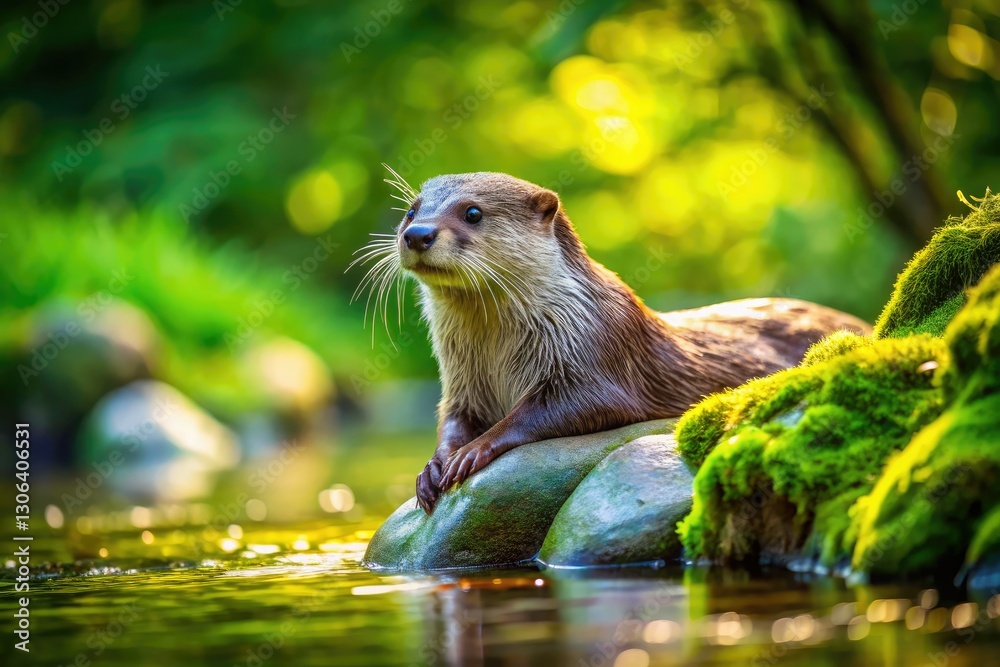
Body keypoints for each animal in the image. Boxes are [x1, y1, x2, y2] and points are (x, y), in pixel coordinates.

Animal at [355, 171, 871, 513]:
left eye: (473, 212)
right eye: (411, 209)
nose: (417, 233)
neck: (498, 353)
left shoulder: (595, 354)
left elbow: (553, 410)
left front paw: (474, 451)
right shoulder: (463, 384)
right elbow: (452, 418)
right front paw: (434, 466)